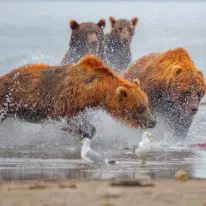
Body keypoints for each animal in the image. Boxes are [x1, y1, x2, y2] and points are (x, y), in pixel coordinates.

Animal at [0, 56, 155, 140]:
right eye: (140, 107)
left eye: (147, 104)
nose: (153, 122)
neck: (94, 91)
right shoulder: (66, 99)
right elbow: (64, 119)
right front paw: (77, 130)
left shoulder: (81, 105)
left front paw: (86, 131)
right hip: (7, 98)